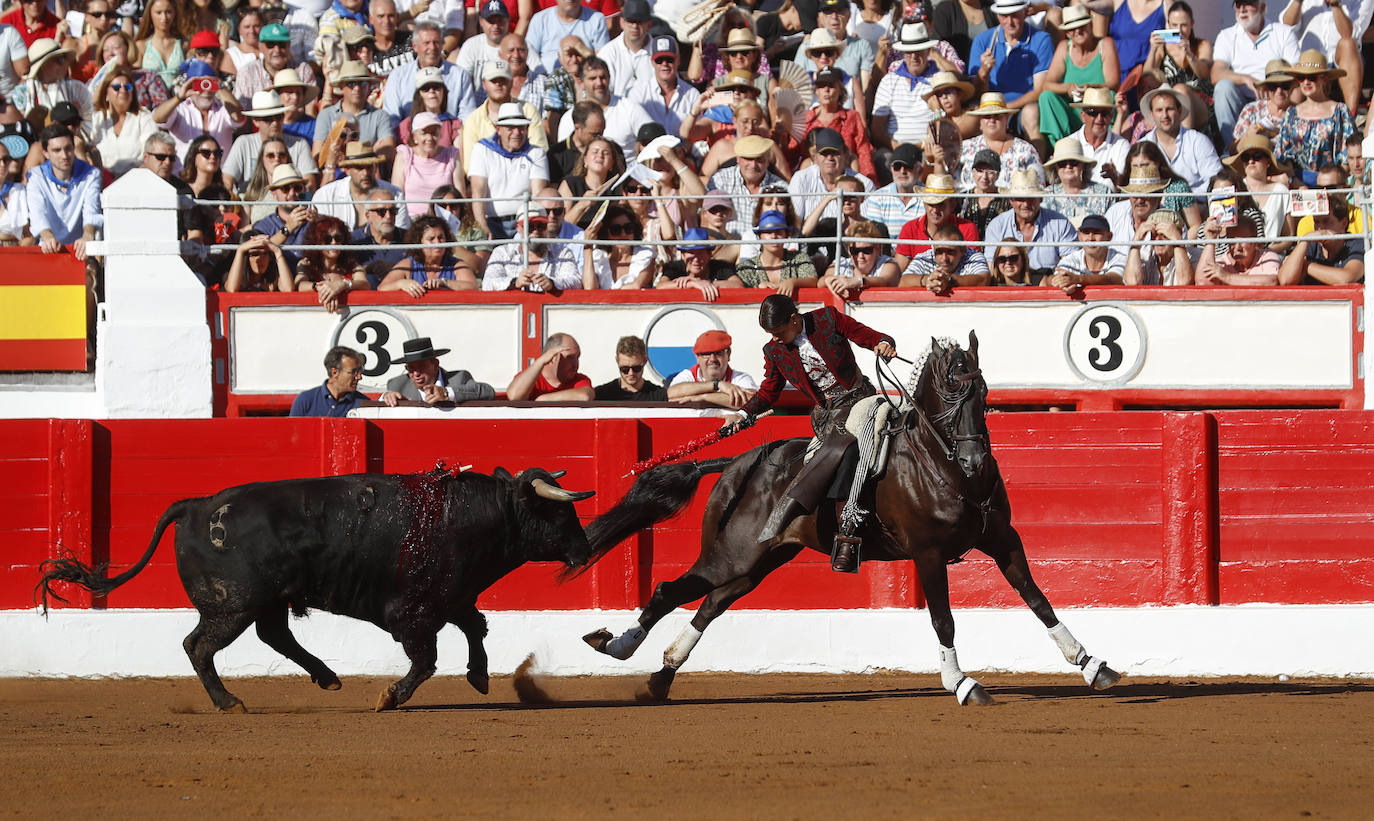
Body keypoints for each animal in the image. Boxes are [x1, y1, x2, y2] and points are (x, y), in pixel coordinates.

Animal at [36, 466, 590, 708]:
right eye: (560, 513)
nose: (585, 553)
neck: (471, 514)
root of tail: (196, 504)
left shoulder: (451, 599)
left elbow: (476, 629)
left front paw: (478, 677)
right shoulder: (414, 614)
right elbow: (427, 659)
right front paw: (390, 696)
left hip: (267, 601)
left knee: (273, 636)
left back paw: (326, 677)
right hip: (231, 606)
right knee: (199, 646)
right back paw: (229, 702)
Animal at [568, 334, 1115, 708]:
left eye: (982, 392)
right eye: (949, 395)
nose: (975, 461)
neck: (938, 464)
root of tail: (736, 462)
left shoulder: (1003, 539)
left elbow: (1037, 598)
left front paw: (1093, 665)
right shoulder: (928, 554)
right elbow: (943, 618)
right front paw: (962, 683)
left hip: (760, 562)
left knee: (709, 603)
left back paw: (660, 674)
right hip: (734, 553)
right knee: (670, 590)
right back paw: (618, 648)